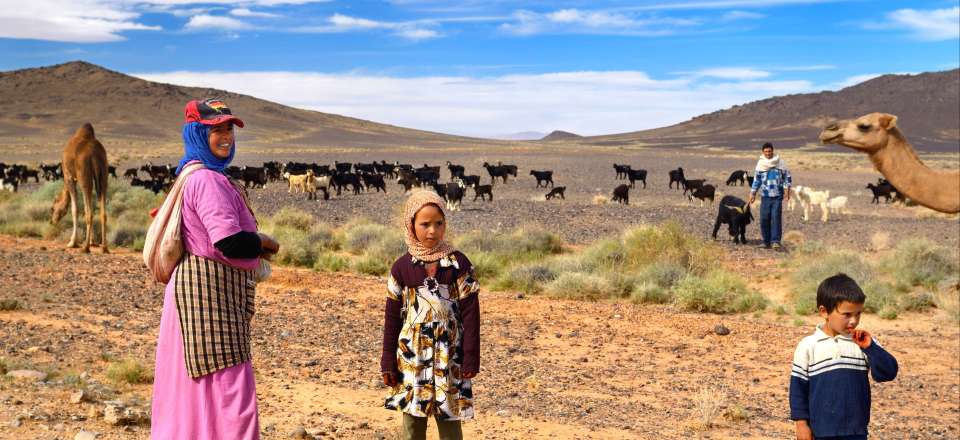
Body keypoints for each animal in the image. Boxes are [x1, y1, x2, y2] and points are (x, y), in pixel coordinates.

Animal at [51, 124, 109, 254]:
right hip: (103, 176)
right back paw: (104, 247)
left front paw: (72, 242)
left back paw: (85, 247)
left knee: (89, 212)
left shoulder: (69, 177)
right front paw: (93, 242)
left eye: (52, 208)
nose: (52, 221)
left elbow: (75, 209)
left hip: (84, 178)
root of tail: (94, 155)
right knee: (102, 212)